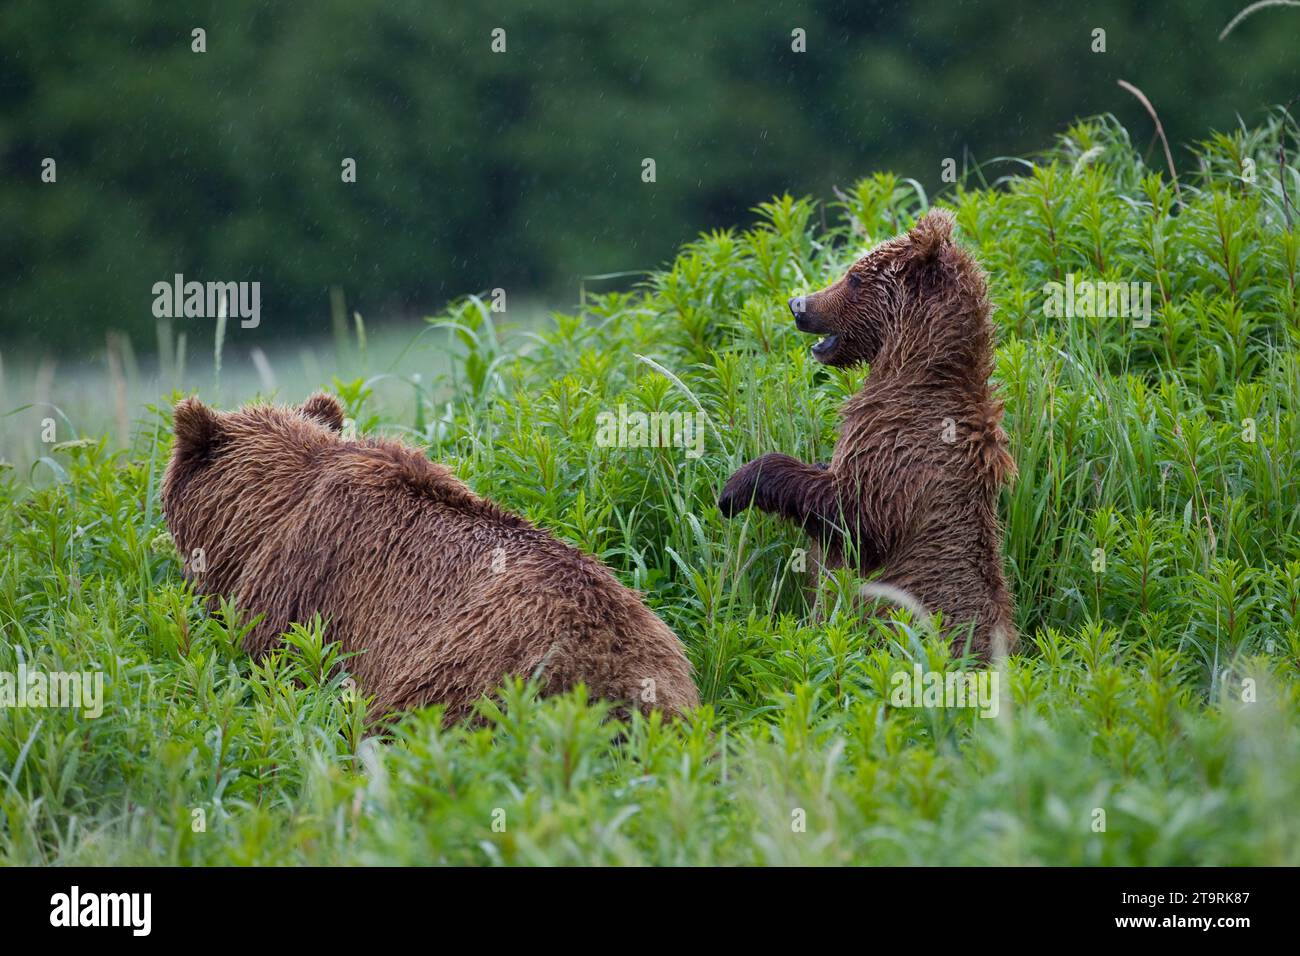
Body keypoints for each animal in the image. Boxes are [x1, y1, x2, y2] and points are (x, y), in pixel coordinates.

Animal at [718, 209, 1017, 659]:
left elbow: (856, 517)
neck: (911, 371)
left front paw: (735, 489)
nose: (797, 304)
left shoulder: (905, 455)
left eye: (855, 277)